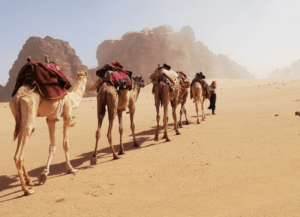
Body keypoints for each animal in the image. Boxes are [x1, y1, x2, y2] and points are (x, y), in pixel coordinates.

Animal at [10, 57, 88, 195]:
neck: (72, 99)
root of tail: (18, 97)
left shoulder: (51, 119)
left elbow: (52, 146)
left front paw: (44, 174)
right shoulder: (67, 115)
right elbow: (65, 144)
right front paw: (71, 168)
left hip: (20, 117)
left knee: (21, 144)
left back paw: (29, 181)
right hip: (29, 109)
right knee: (18, 155)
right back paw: (26, 190)